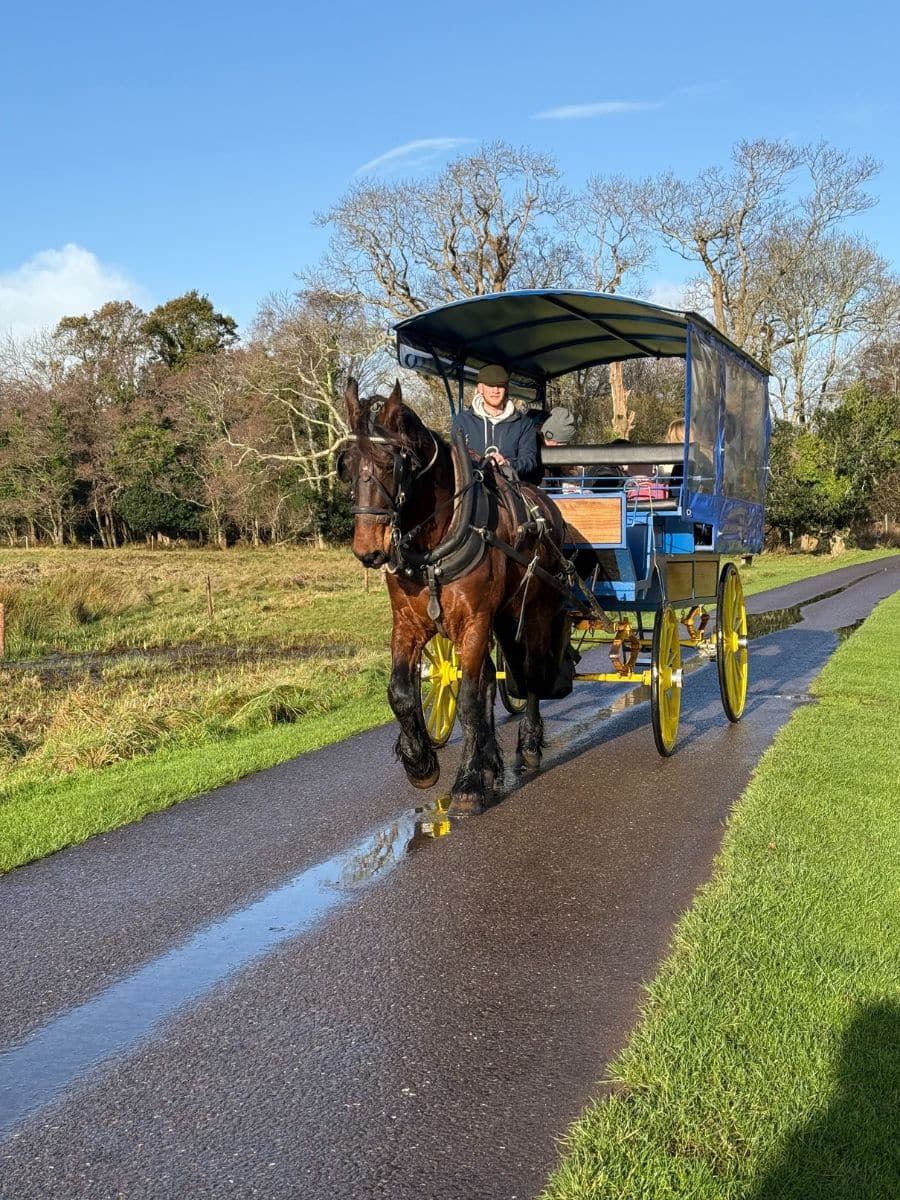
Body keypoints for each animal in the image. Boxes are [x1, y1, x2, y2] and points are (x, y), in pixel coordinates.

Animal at [339, 377, 579, 811]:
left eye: (390, 464)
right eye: (345, 464)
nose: (368, 550)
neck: (436, 543)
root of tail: (550, 511)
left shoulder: (474, 621)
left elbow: (468, 700)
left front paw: (467, 782)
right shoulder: (408, 623)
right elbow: (401, 693)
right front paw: (421, 762)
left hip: (533, 614)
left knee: (532, 676)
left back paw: (527, 745)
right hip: (501, 619)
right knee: (493, 679)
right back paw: (491, 763)